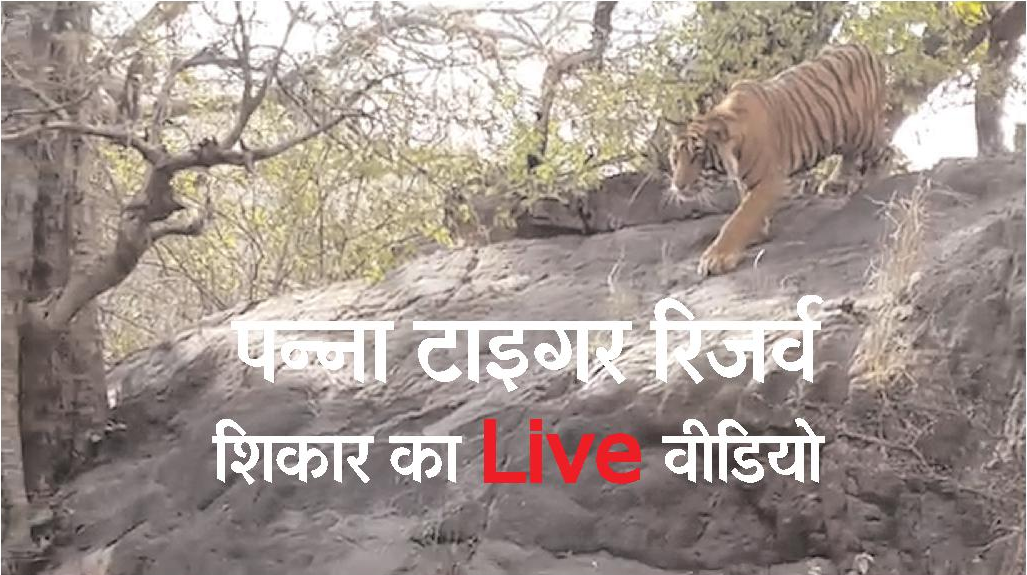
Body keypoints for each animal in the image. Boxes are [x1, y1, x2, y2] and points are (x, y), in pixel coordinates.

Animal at [667, 43, 892, 277]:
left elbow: (740, 217)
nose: (678, 186)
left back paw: (872, 183)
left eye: (698, 157)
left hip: (862, 130)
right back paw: (836, 184)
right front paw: (759, 232)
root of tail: (865, 48)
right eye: (676, 158)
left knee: (884, 152)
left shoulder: (769, 180)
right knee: (851, 155)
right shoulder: (746, 181)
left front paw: (716, 258)